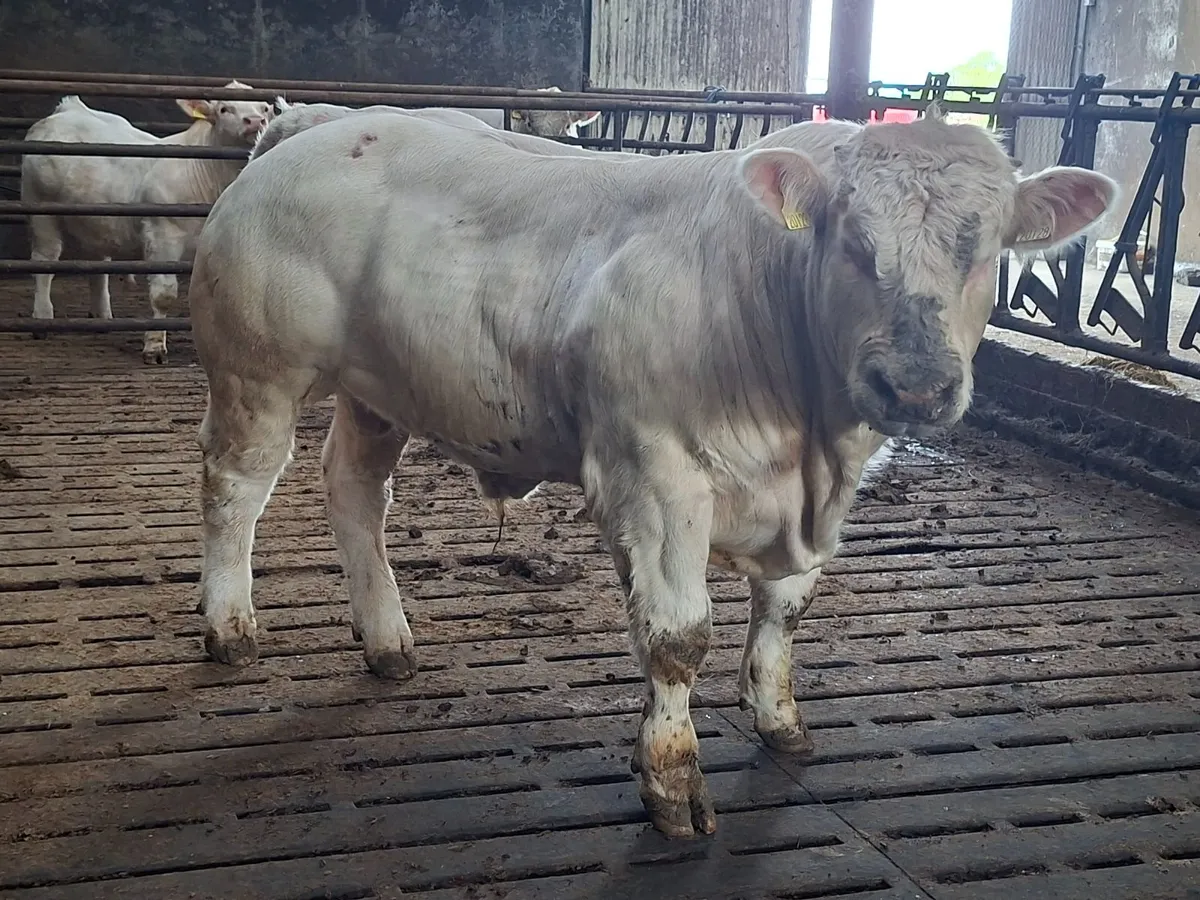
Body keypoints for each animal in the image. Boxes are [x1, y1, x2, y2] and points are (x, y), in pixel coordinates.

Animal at [20, 82, 274, 363]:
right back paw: (42, 319)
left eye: (265, 108)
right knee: (45, 260)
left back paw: (102, 318)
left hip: (97, 218)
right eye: (224, 108)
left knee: (97, 264)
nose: (255, 121)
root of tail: (68, 108)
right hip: (39, 207)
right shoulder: (163, 235)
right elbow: (163, 294)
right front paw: (154, 347)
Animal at [185, 104, 1117, 838]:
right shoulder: (657, 474)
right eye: (853, 243)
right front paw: (672, 782)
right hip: (257, 372)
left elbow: (784, 610)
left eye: (985, 248)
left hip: (378, 390)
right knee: (235, 487)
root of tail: (319, 124)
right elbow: (678, 638)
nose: (916, 385)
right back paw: (230, 626)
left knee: (354, 489)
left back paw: (386, 639)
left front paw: (779, 721)